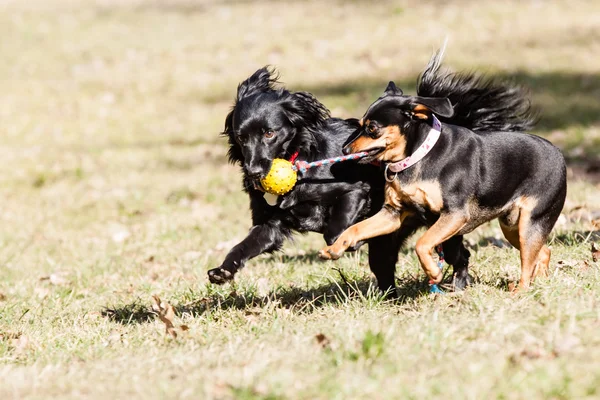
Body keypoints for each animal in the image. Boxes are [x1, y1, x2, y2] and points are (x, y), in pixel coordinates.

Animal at [209, 68, 472, 294]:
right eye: (241, 138)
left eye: (269, 133)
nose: (253, 173)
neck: (300, 160)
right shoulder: (270, 224)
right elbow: (244, 245)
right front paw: (223, 270)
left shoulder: (355, 191)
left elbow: (334, 230)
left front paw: (349, 242)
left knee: (460, 256)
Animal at [322, 51, 564, 292]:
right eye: (358, 124)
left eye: (372, 128)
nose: (344, 149)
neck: (416, 157)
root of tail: (559, 153)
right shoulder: (392, 214)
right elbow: (356, 229)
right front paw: (336, 247)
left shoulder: (454, 215)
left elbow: (422, 243)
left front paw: (433, 271)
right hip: (512, 226)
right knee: (543, 251)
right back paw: (540, 279)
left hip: (530, 222)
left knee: (528, 259)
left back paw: (521, 290)